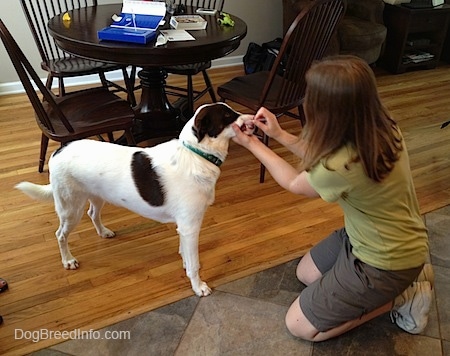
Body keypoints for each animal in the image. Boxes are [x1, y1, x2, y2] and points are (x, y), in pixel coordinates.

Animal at [15, 103, 255, 298]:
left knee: (92, 214)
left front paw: (185, 263)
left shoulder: (184, 227)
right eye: (228, 115)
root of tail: (58, 151)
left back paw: (103, 232)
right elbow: (194, 264)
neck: (197, 154)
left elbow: (185, 254)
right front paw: (198, 287)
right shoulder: (190, 227)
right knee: (60, 234)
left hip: (96, 196)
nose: (254, 119)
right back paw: (68, 260)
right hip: (70, 208)